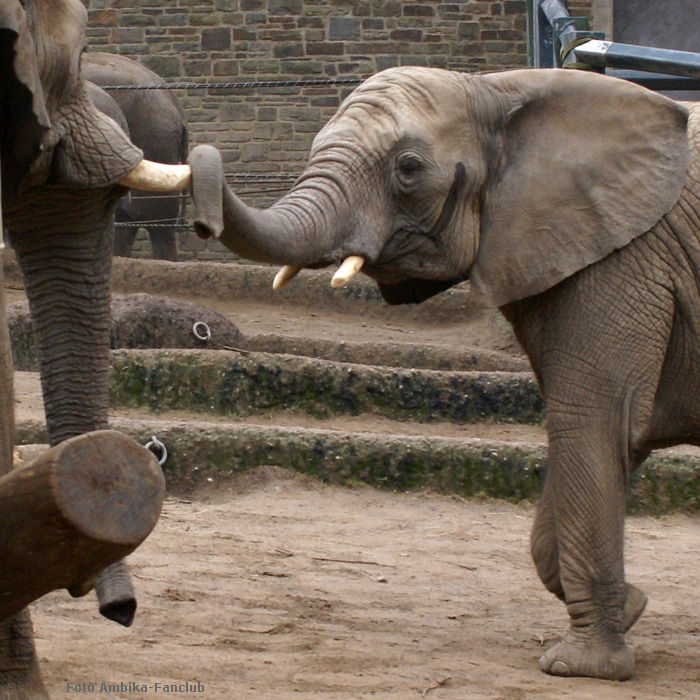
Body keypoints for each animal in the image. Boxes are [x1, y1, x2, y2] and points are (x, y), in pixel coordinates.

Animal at [186, 64, 700, 680]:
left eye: (408, 168)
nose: (199, 212)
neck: (501, 89)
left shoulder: (626, 256)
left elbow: (594, 422)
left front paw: (581, 668)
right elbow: (600, 445)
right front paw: (634, 607)